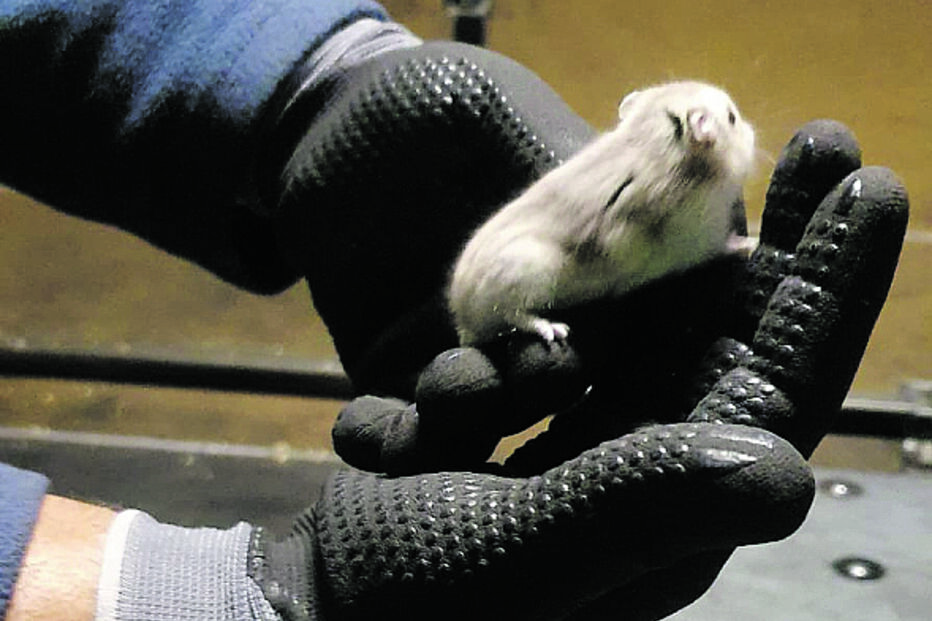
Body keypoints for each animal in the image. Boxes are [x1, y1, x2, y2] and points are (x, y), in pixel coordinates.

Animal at [448, 80, 756, 345]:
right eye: (732, 118)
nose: (754, 134)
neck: (656, 145)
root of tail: (463, 321)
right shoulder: (702, 237)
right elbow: (724, 245)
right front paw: (750, 244)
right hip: (527, 271)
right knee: (512, 314)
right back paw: (554, 330)